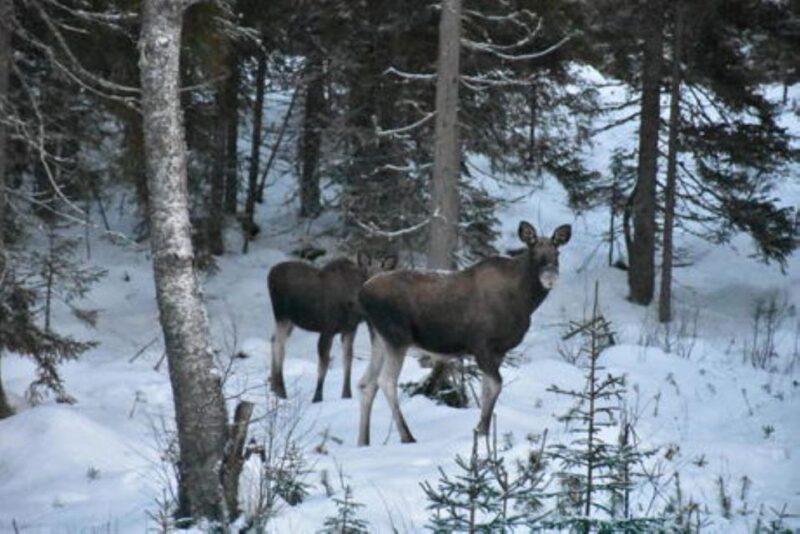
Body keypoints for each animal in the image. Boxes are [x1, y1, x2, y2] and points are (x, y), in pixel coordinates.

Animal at [268, 252, 397, 403]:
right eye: (367, 275)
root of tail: (270, 273)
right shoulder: (327, 329)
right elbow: (323, 365)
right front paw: (317, 397)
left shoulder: (349, 330)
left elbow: (347, 362)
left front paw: (346, 395)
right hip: (282, 315)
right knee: (279, 344)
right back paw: (281, 390)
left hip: (290, 321)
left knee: (273, 340)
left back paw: (273, 387)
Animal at [356, 221, 571, 445]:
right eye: (534, 251)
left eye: (557, 252)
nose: (550, 277)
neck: (525, 301)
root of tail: (362, 293)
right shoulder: (481, 345)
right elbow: (495, 385)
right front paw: (481, 430)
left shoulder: (498, 351)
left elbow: (486, 390)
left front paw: (483, 432)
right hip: (397, 337)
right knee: (386, 381)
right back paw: (407, 436)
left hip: (379, 337)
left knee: (366, 383)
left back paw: (363, 441)